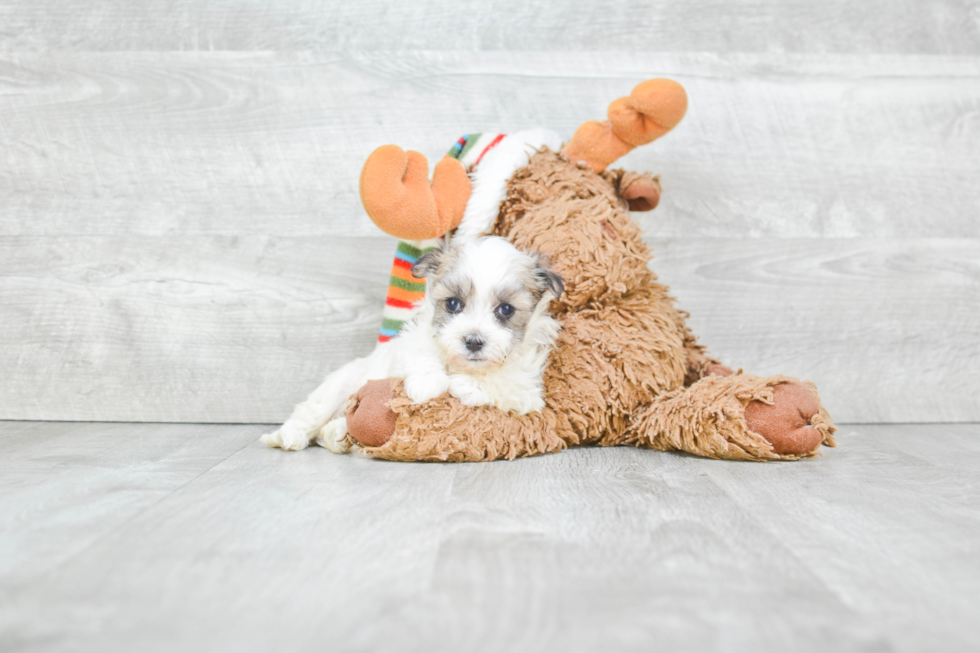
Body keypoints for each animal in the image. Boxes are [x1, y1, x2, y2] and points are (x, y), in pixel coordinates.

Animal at [264, 236, 564, 454]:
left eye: (505, 309)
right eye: (453, 304)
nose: (473, 341)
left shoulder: (529, 392)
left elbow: (506, 386)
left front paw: (468, 386)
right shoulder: (412, 339)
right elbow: (421, 353)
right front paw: (428, 383)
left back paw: (337, 434)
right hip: (340, 385)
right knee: (312, 410)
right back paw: (287, 436)